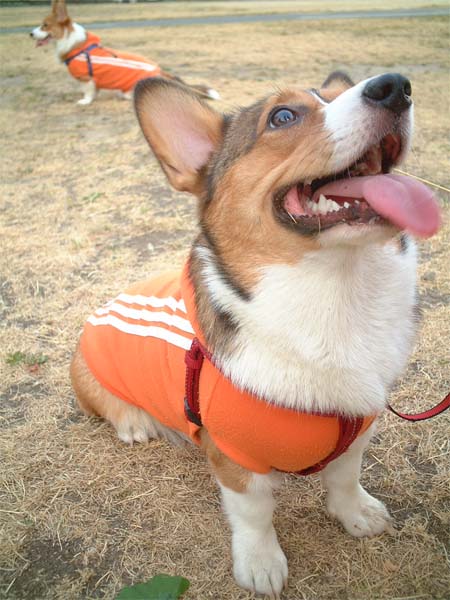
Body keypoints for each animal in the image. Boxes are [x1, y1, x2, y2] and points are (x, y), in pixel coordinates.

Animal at [30, 0, 219, 106]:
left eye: (44, 25)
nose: (30, 34)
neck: (76, 44)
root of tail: (161, 70)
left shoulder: (86, 78)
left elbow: (88, 92)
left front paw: (85, 101)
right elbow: (94, 90)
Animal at [70, 72, 441, 597]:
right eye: (283, 116)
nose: (395, 86)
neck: (335, 295)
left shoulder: (359, 427)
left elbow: (345, 478)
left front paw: (357, 515)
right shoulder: (235, 458)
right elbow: (254, 515)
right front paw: (261, 565)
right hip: (85, 373)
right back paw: (135, 422)